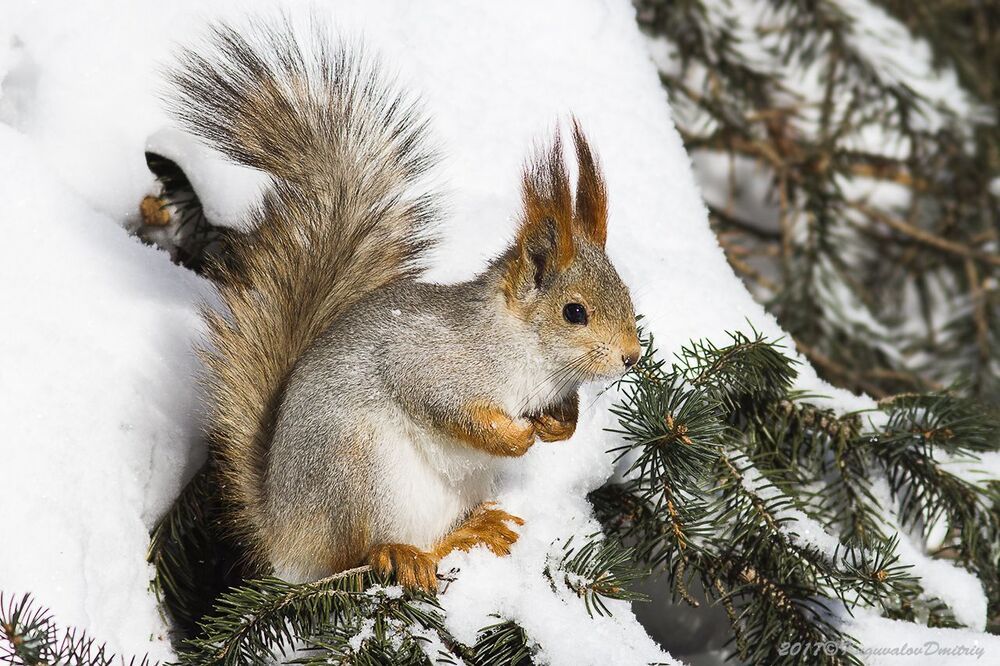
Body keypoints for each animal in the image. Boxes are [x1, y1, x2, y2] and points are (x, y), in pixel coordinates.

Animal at [168, 23, 641, 591]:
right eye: (575, 312)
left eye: (626, 292)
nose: (632, 356)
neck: (527, 352)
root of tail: (284, 534)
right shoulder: (430, 359)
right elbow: (440, 402)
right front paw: (513, 435)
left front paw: (557, 425)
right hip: (361, 472)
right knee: (355, 554)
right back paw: (406, 552)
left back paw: (475, 528)